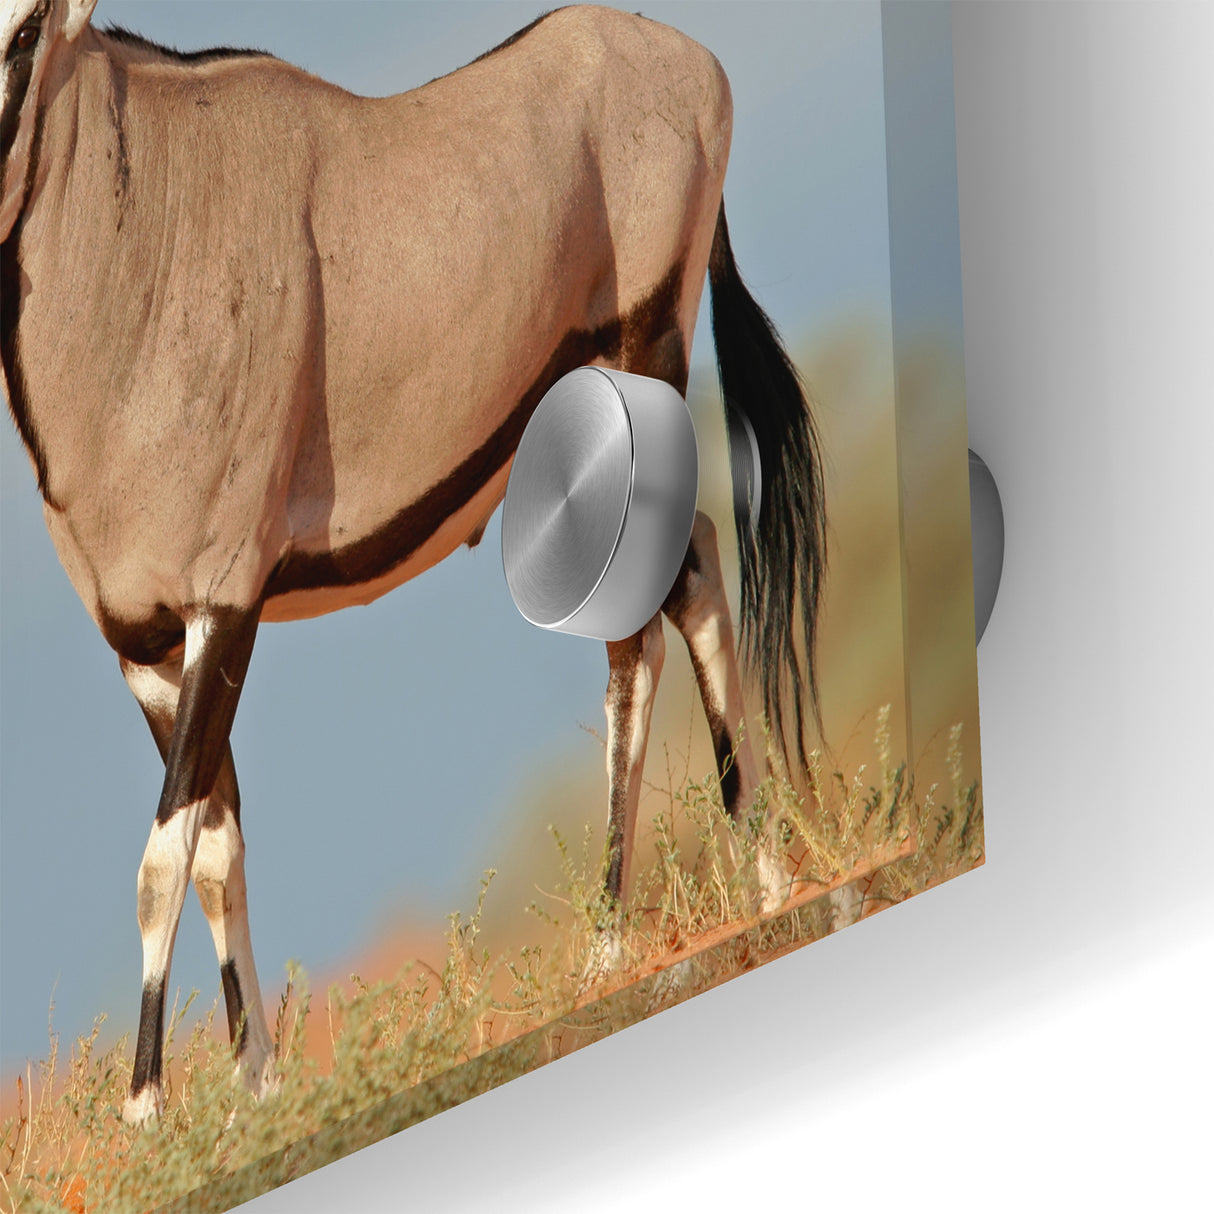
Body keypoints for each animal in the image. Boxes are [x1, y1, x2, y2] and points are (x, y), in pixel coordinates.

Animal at [0, 1, 825, 1123]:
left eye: (22, 37)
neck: (141, 231)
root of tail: (673, 52)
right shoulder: (145, 647)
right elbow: (215, 842)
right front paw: (256, 1088)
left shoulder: (226, 604)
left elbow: (163, 856)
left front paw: (146, 1107)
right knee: (689, 568)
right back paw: (718, 895)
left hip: (643, 355)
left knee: (653, 622)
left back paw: (677, 916)